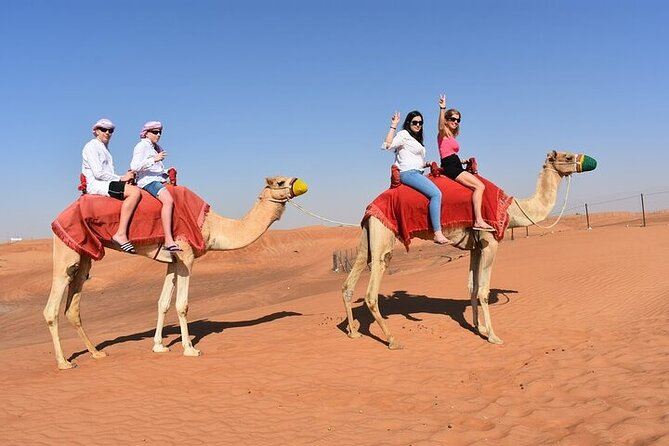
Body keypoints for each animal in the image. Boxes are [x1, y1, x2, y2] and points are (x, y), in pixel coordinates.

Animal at [44, 176, 308, 370]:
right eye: (280, 182)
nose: (300, 183)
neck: (212, 225)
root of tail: (57, 217)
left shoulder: (173, 260)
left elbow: (163, 302)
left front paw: (159, 346)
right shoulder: (186, 256)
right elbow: (182, 305)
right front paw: (190, 348)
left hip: (85, 255)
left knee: (73, 305)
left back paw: (97, 353)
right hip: (66, 251)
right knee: (52, 307)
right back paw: (64, 362)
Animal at [342, 151, 597, 349]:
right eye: (567, 156)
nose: (590, 161)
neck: (511, 209)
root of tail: (370, 206)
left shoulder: (475, 246)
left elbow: (471, 287)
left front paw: (478, 327)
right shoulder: (490, 242)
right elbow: (483, 290)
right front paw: (493, 336)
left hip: (369, 233)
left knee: (351, 280)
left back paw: (353, 332)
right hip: (383, 236)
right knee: (372, 290)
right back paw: (392, 340)